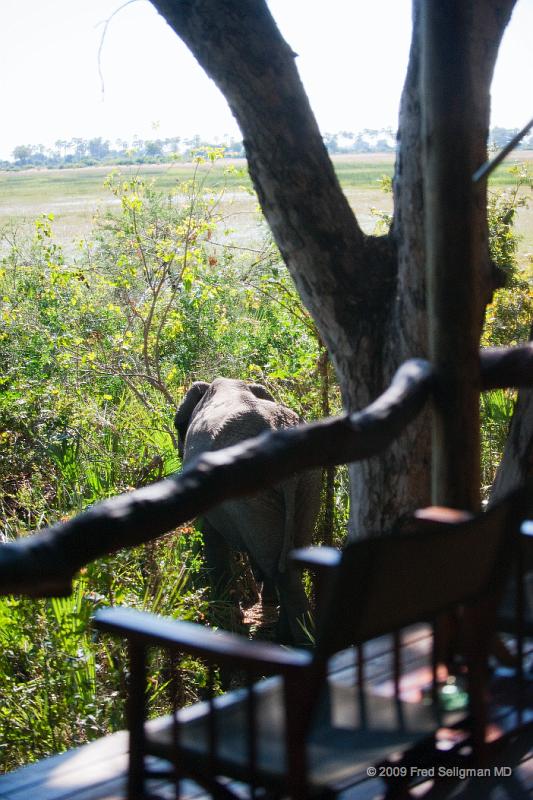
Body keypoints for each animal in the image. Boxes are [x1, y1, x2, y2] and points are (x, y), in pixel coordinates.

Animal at [176, 378, 320, 648]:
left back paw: (294, 642)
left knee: (279, 566)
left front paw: (225, 617)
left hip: (254, 489)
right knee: (289, 559)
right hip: (307, 482)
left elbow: (210, 536)